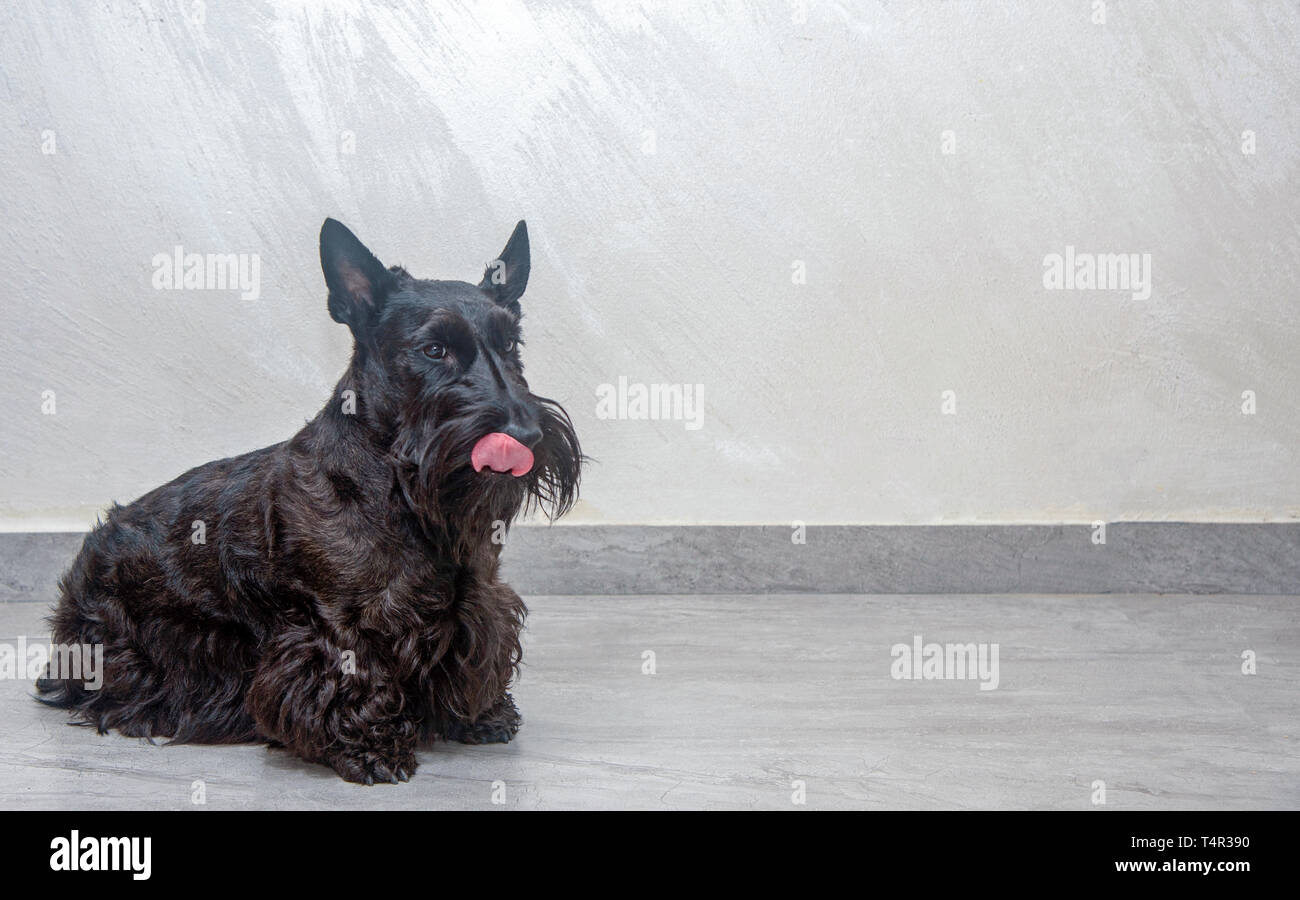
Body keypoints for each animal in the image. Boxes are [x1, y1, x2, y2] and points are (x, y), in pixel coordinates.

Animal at [36, 218, 585, 780]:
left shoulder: (480, 600)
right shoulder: (334, 620)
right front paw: (371, 746)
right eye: (434, 350)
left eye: (511, 342)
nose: (527, 435)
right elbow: (350, 676)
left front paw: (483, 715)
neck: (403, 491)